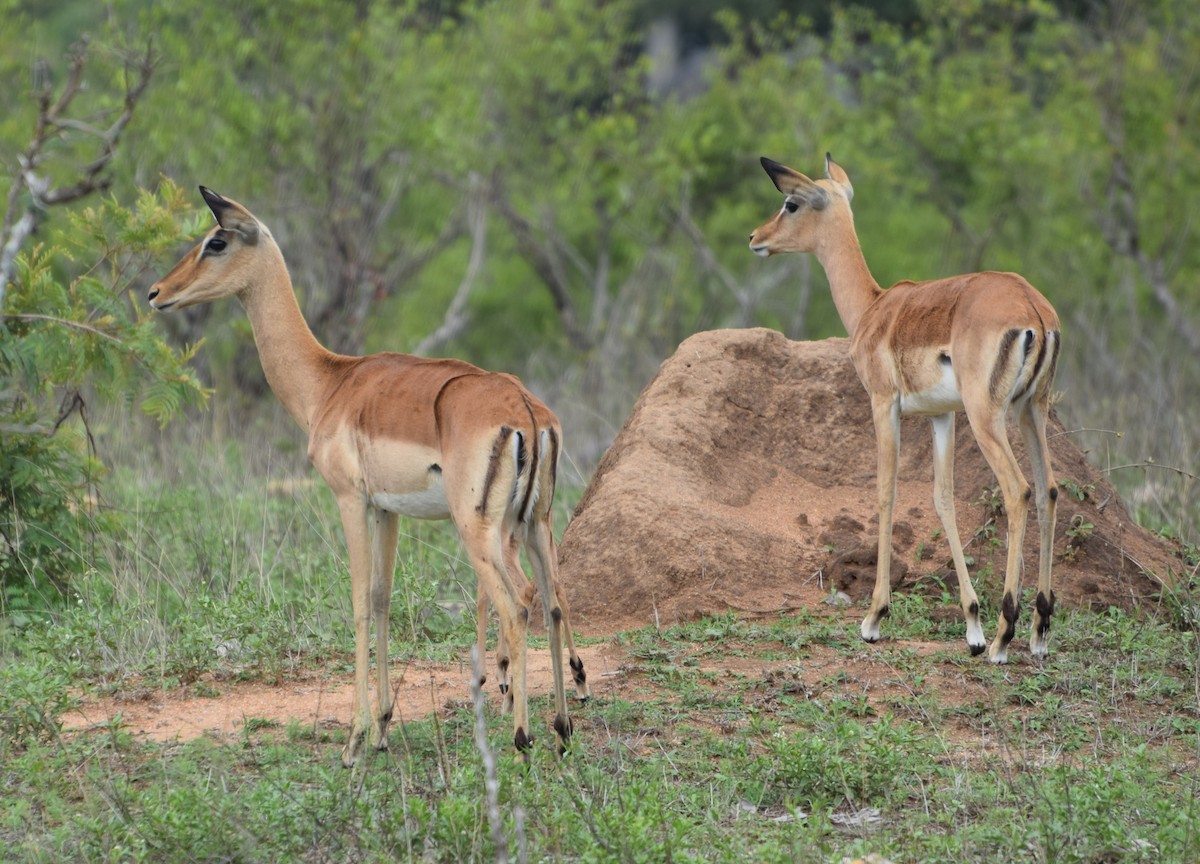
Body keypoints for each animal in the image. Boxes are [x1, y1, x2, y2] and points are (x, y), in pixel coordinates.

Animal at [149, 187, 589, 765]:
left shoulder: (349, 499)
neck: (329, 383)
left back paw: (521, 738)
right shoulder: (387, 509)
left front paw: (354, 740)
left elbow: (358, 602)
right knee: (553, 603)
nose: (156, 292)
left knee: (517, 603)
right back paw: (561, 729)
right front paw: (381, 727)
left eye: (216, 241)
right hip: (536, 524)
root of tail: (526, 411)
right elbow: (382, 599)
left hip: (479, 529)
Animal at [749, 154, 1060, 662]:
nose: (756, 238)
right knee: (1049, 490)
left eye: (791, 203)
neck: (873, 308)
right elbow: (942, 497)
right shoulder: (941, 415)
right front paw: (971, 626)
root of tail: (1033, 308)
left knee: (1018, 490)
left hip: (988, 416)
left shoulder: (882, 404)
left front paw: (874, 618)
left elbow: (885, 492)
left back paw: (1004, 636)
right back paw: (1037, 632)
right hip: (1032, 409)